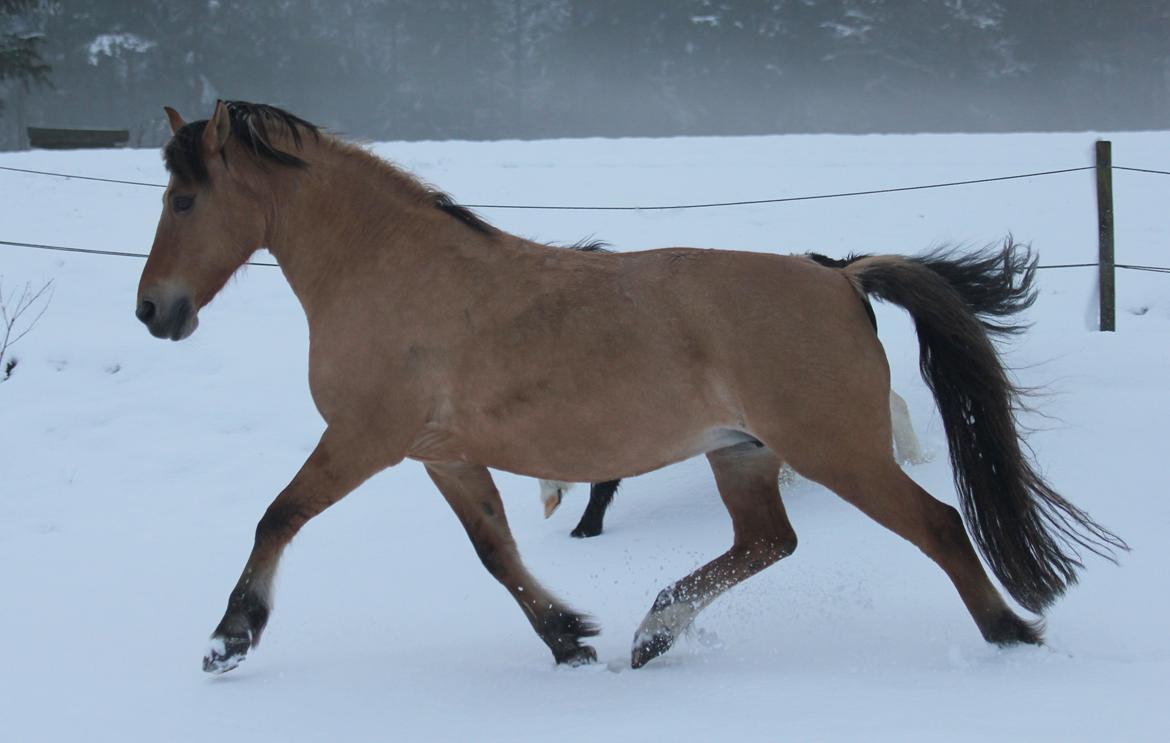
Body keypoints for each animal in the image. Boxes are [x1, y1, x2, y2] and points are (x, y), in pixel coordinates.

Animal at [136, 101, 1123, 678]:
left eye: (183, 200)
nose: (153, 311)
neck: (395, 274)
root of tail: (839, 276)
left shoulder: (365, 439)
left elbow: (278, 514)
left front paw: (230, 636)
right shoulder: (441, 454)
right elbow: (496, 551)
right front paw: (569, 637)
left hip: (835, 450)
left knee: (940, 525)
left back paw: (1010, 633)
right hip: (743, 454)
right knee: (770, 541)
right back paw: (654, 630)